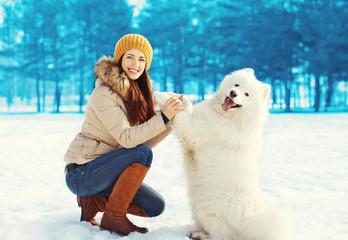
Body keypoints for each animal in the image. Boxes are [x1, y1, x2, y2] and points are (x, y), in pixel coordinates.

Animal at [154, 68, 290, 240]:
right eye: (236, 84)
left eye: (246, 94)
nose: (233, 93)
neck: (228, 117)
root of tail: (249, 224)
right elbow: (187, 105)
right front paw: (174, 94)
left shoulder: (194, 131)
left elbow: (181, 115)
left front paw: (160, 96)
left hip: (204, 209)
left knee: (220, 235)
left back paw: (199, 234)